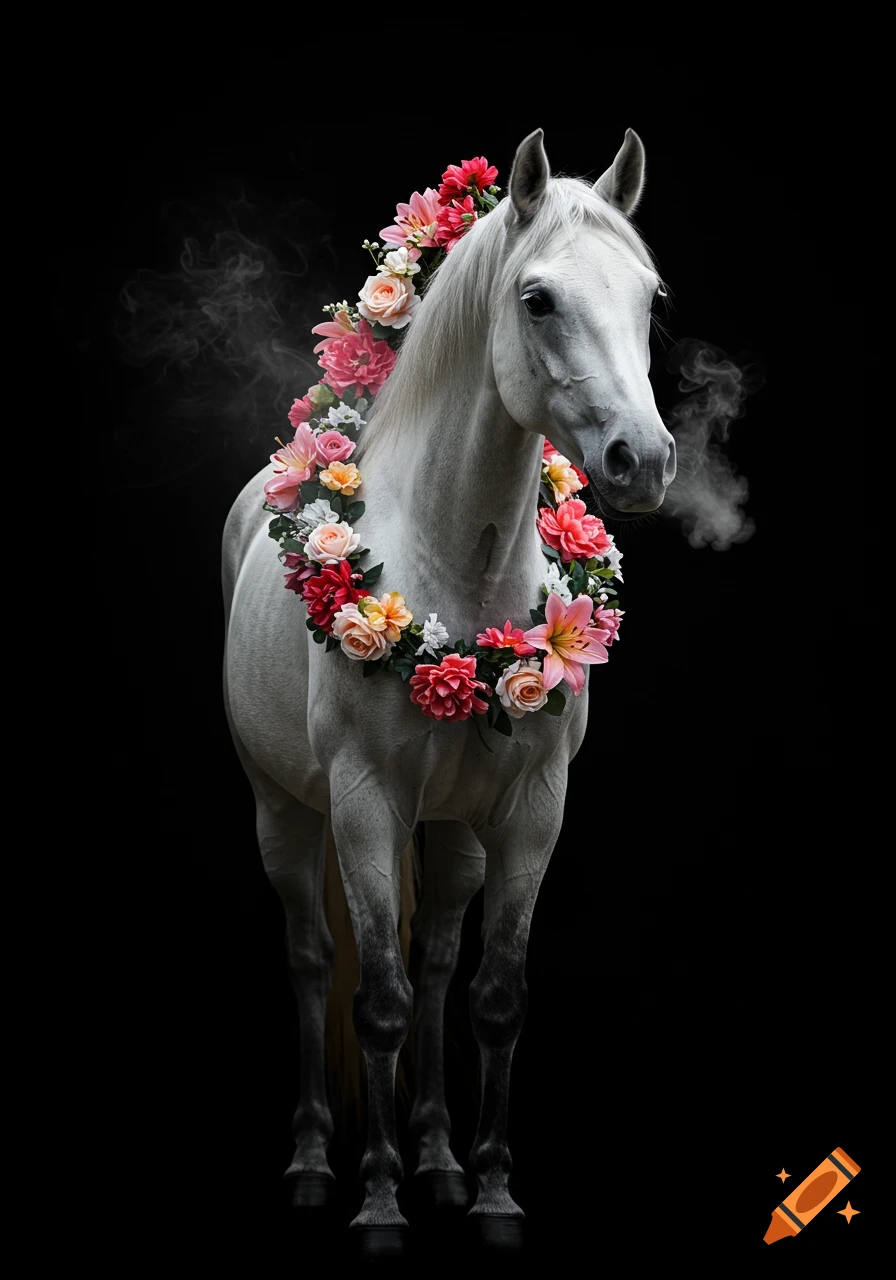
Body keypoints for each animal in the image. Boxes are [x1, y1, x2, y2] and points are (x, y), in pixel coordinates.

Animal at [222, 127, 676, 1247]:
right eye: (538, 299)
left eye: (649, 297)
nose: (641, 460)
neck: (456, 570)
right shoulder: (364, 805)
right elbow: (373, 999)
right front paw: (378, 1202)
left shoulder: (532, 812)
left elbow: (492, 995)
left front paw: (493, 1190)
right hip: (286, 812)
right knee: (313, 959)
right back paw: (317, 1162)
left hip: (457, 831)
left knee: (432, 965)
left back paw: (433, 1157)